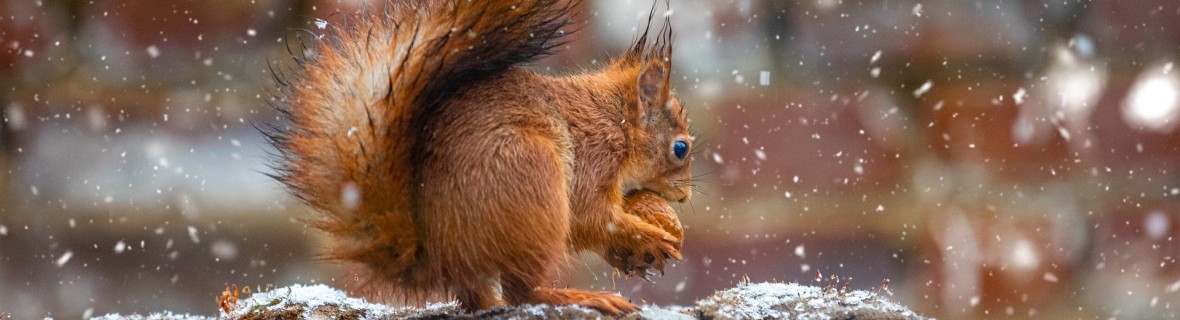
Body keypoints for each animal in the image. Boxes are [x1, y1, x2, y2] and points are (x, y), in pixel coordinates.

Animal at [265, 0, 689, 316]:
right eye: (680, 148)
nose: (684, 197)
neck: (616, 120)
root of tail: (441, 256)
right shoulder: (595, 154)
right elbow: (591, 217)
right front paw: (649, 236)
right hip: (532, 180)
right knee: (523, 291)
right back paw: (579, 297)